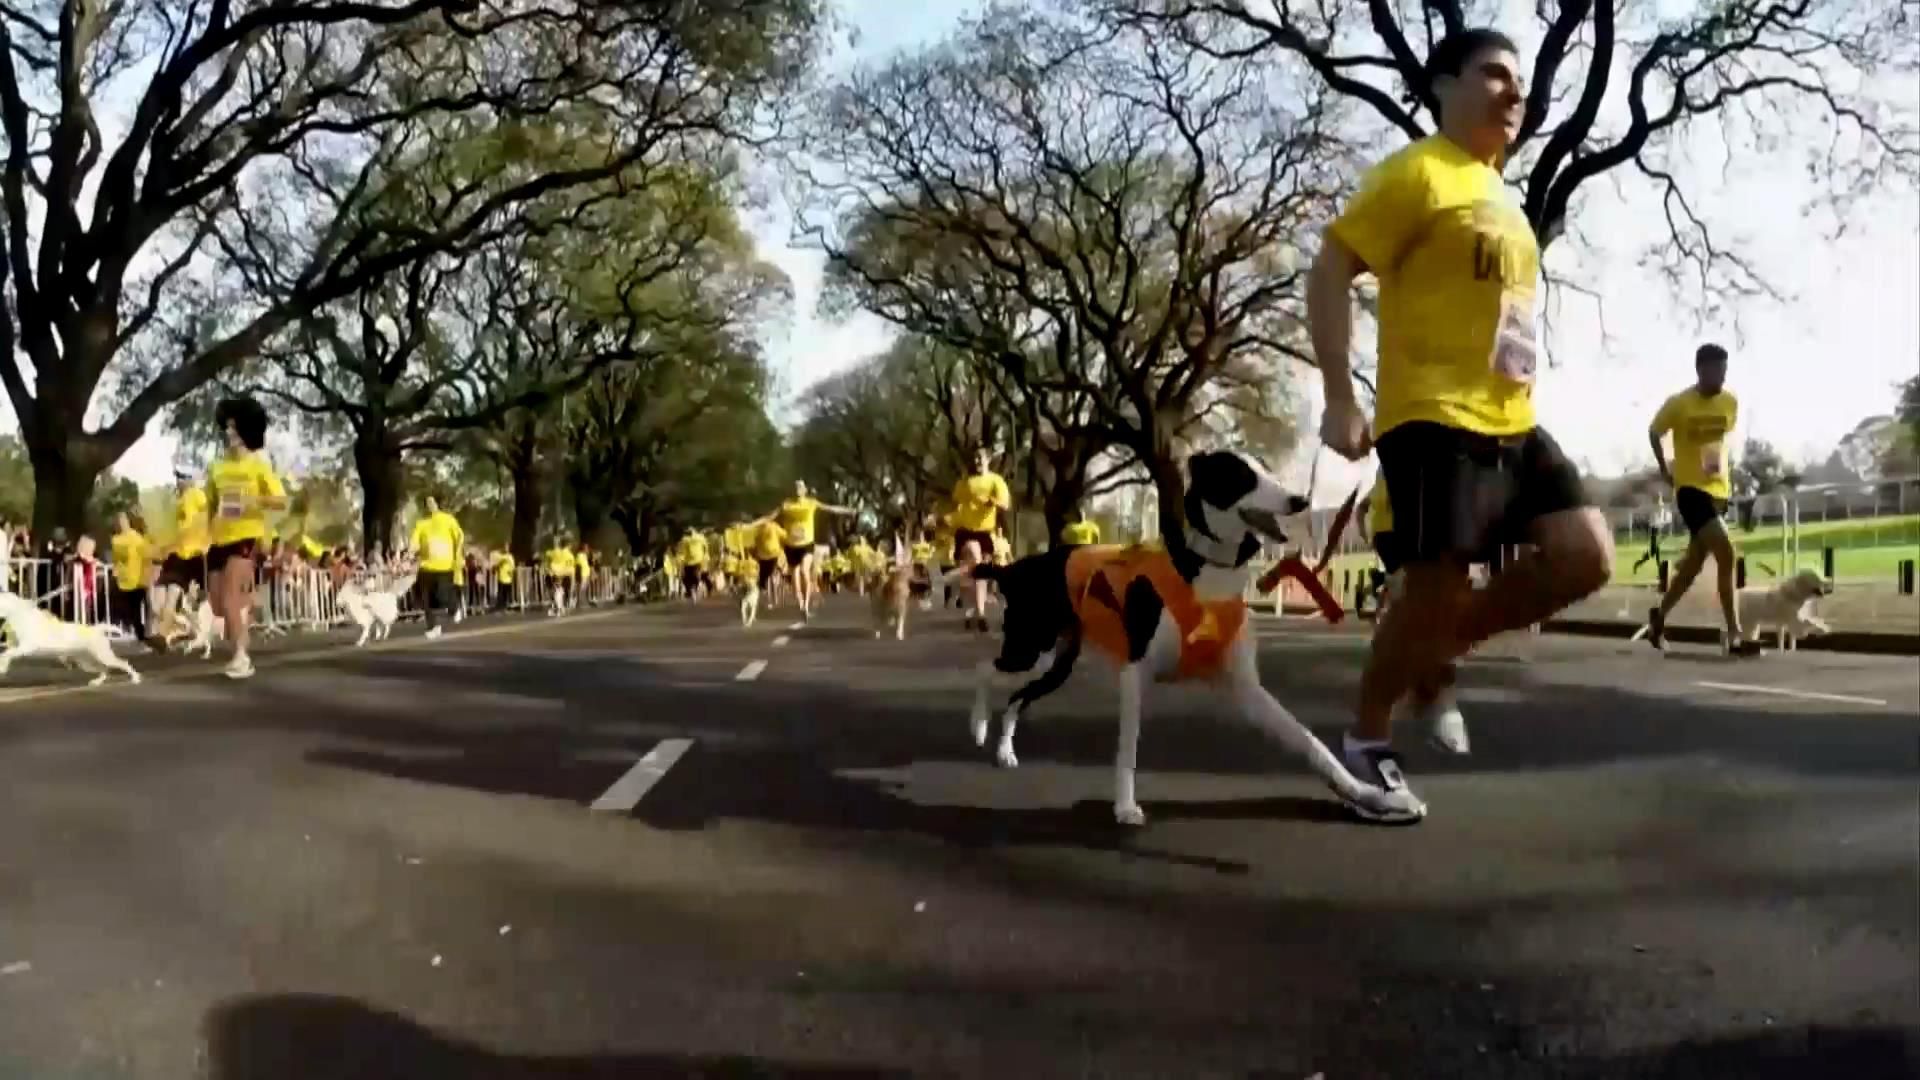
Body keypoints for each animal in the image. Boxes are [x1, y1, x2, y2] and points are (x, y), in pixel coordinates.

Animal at [0, 588, 140, 680]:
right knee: (104, 669)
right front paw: (3, 667)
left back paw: (136, 678)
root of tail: (97, 629)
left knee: (123, 663)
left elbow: (7, 653)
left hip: (104, 656)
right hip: (85, 662)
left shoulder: (27, 646)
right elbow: (7, 653)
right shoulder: (17, 646)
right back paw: (96, 682)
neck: (20, 614)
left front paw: (2, 665)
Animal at [960, 445, 1428, 822]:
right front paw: (1124, 806)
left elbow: (1312, 744)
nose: (1301, 501)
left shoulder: (1246, 688)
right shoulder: (1136, 675)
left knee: (1016, 699)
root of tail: (1018, 568)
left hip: (1055, 662)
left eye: (1266, 469)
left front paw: (1368, 793)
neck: (1208, 570)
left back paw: (1004, 749)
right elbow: (1128, 748)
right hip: (1030, 647)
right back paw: (979, 725)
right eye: (1241, 475)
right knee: (984, 668)